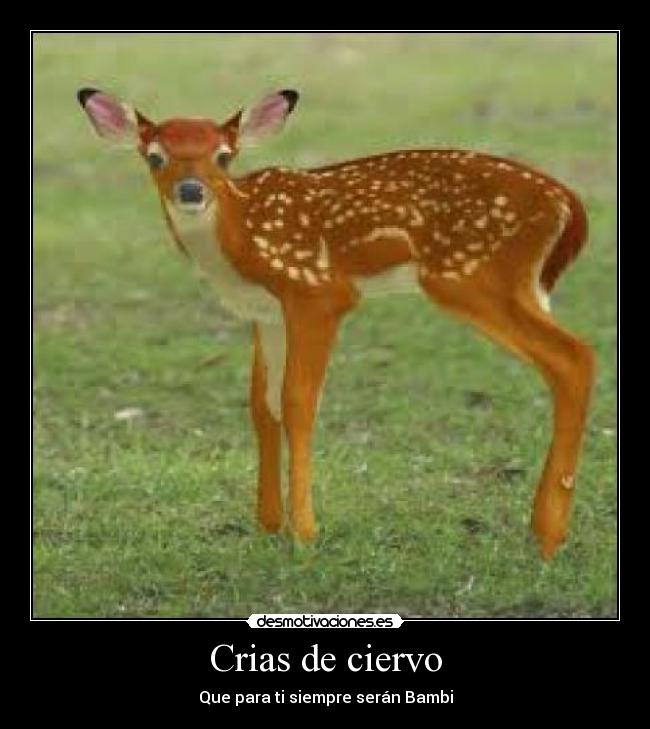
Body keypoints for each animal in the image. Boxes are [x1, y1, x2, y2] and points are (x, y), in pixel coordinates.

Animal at [77, 86, 594, 560]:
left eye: (224, 157)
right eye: (155, 156)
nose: (191, 191)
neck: (242, 243)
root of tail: (569, 203)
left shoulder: (318, 292)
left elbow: (299, 402)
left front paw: (304, 533)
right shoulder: (266, 312)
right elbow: (262, 406)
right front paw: (267, 525)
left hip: (471, 277)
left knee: (574, 357)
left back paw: (548, 538)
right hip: (516, 285)